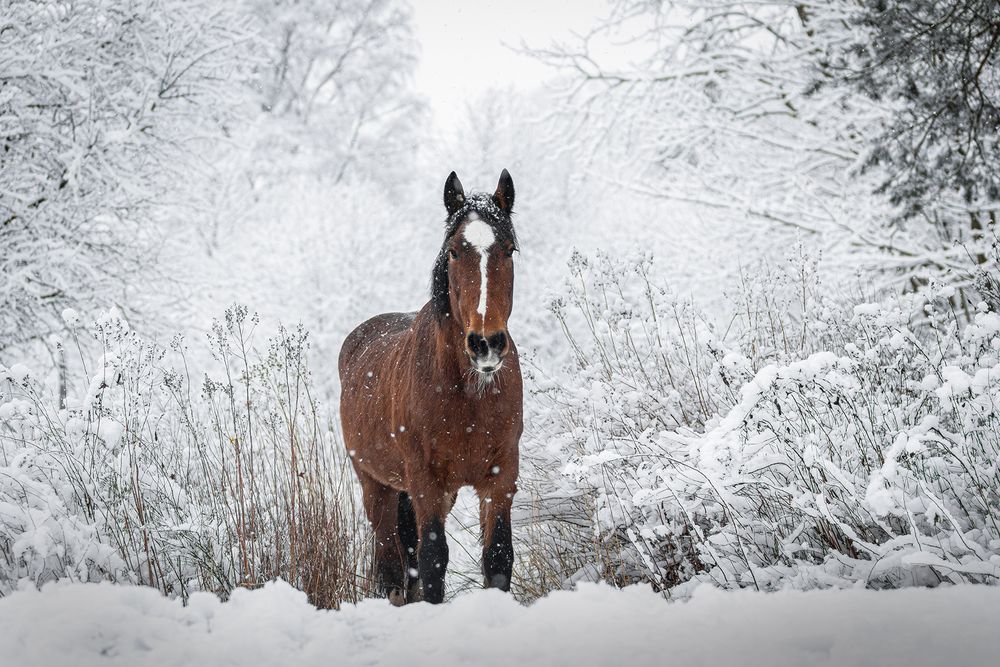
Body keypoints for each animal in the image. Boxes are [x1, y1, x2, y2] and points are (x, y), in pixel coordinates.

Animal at [338, 170, 522, 605]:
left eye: (509, 250)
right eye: (454, 252)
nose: (486, 343)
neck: (468, 396)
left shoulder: (501, 475)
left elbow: (498, 555)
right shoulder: (425, 482)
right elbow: (433, 559)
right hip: (377, 487)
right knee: (392, 561)